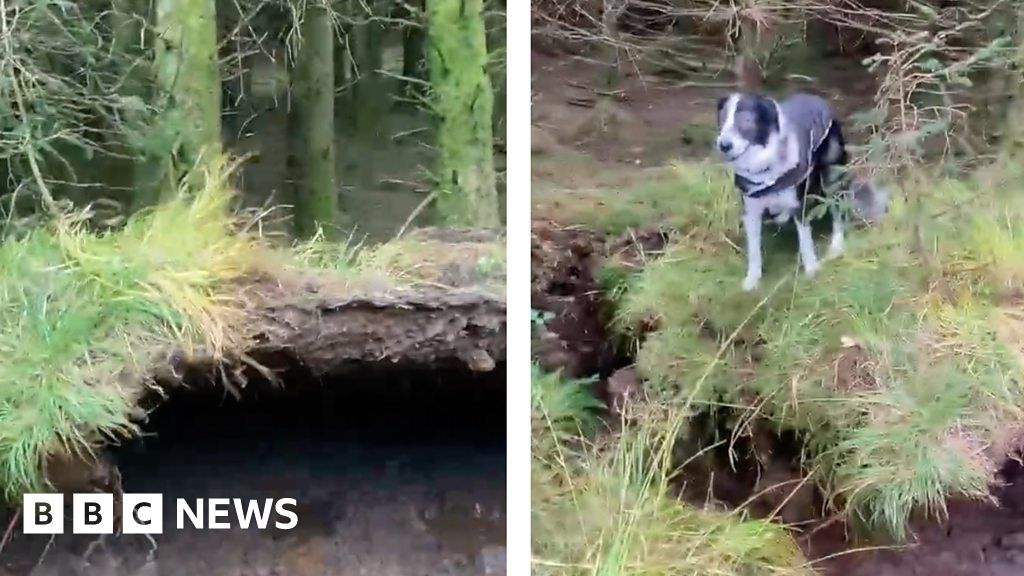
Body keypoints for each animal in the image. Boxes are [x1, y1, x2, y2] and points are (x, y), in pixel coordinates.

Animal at [712, 93, 880, 291]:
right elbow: (754, 251)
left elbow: (806, 242)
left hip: (832, 180)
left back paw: (836, 247)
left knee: (838, 215)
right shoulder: (751, 211)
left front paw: (812, 271)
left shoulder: (800, 206)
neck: (765, 166)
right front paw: (752, 280)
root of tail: (814, 98)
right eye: (723, 119)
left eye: (746, 120)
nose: (723, 145)